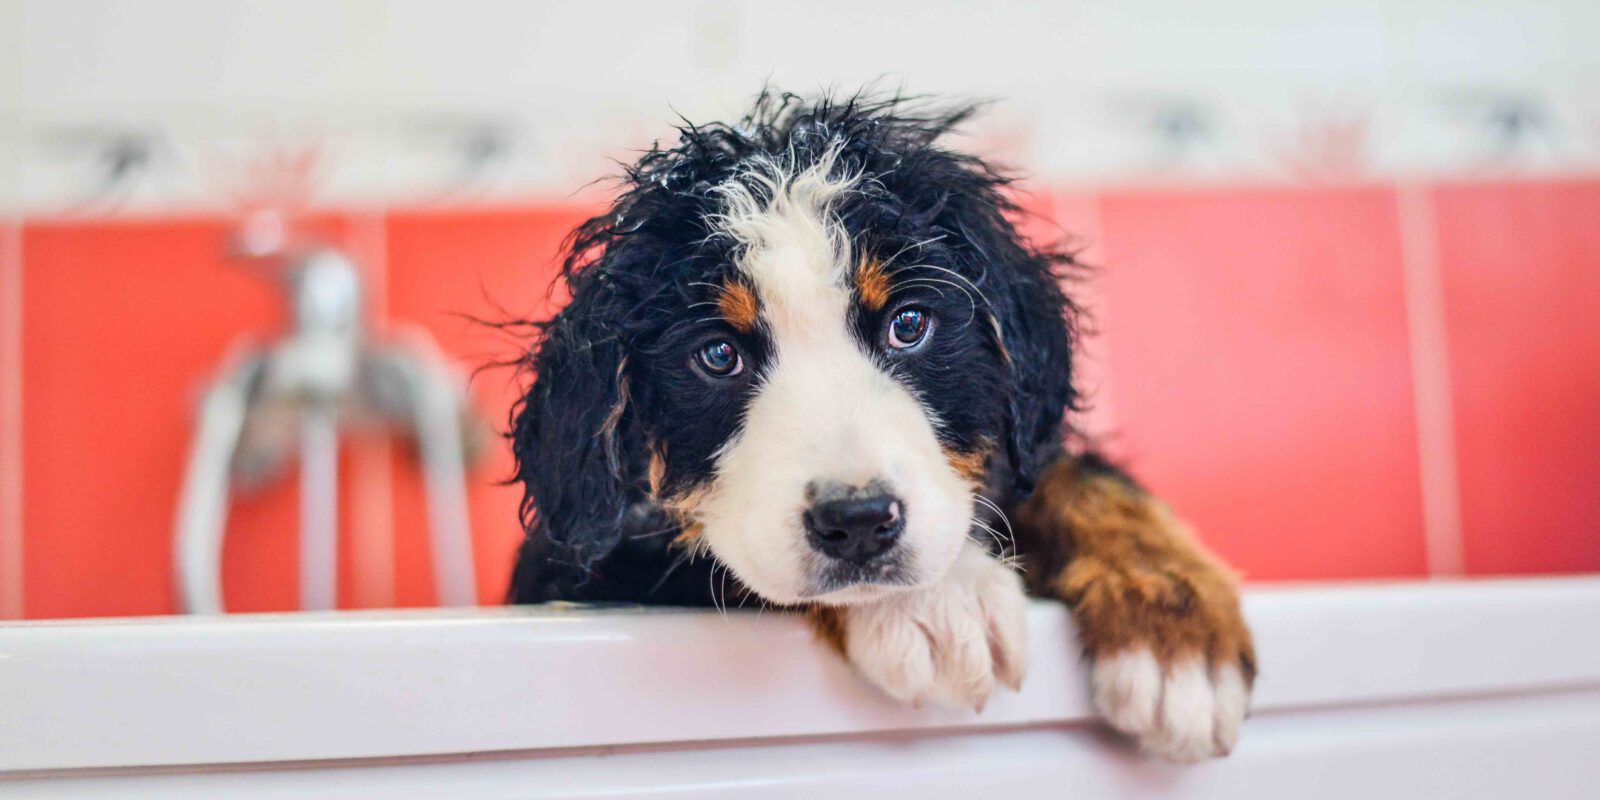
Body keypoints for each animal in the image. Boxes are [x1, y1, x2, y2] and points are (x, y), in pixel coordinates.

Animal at [505, 90, 1254, 758]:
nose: (859, 521)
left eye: (908, 324)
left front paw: (1178, 635)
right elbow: (718, 562)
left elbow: (1076, 476)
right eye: (718, 356)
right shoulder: (585, 569)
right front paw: (941, 602)